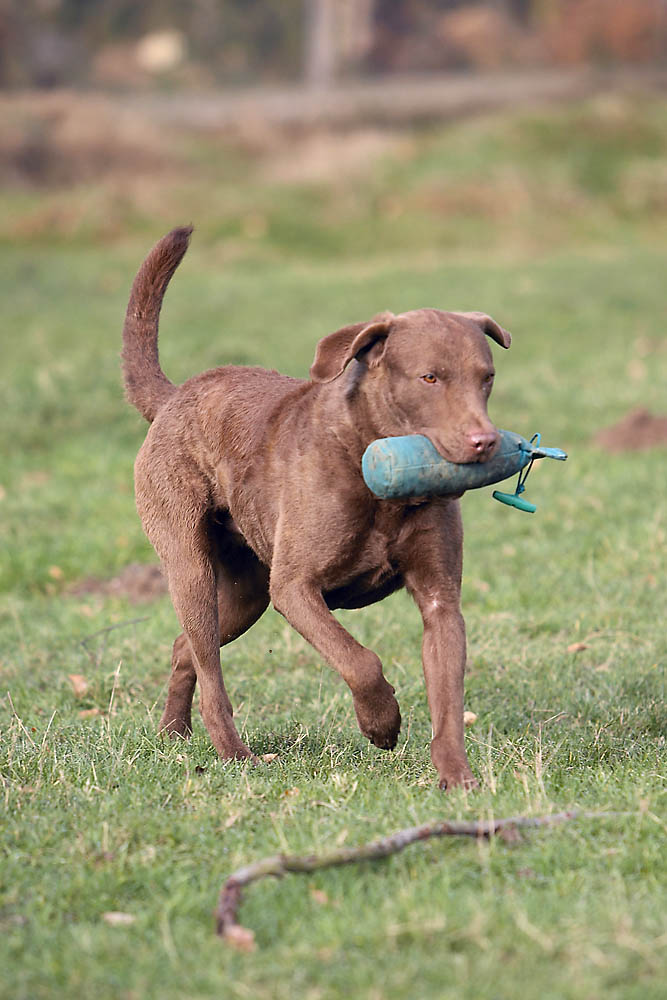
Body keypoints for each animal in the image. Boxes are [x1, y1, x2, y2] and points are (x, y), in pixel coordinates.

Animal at [122, 229, 512, 788]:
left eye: (487, 377)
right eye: (430, 378)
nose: (486, 442)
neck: (373, 465)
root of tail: (175, 397)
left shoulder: (441, 601)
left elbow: (447, 700)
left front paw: (457, 779)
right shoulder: (295, 587)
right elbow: (359, 660)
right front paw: (382, 724)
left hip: (247, 594)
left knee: (186, 650)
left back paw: (174, 733)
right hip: (193, 567)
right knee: (211, 673)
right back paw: (235, 755)